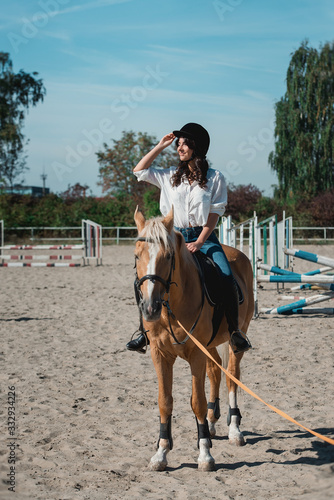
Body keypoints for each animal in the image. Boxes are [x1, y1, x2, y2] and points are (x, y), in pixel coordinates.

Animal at [133, 206, 253, 468]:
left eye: (169, 256)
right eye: (137, 256)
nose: (150, 308)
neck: (172, 308)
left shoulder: (196, 353)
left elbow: (196, 401)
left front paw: (205, 453)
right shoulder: (160, 354)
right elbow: (165, 401)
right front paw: (161, 452)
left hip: (237, 337)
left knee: (232, 377)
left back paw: (234, 430)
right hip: (211, 345)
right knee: (216, 370)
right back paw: (212, 421)